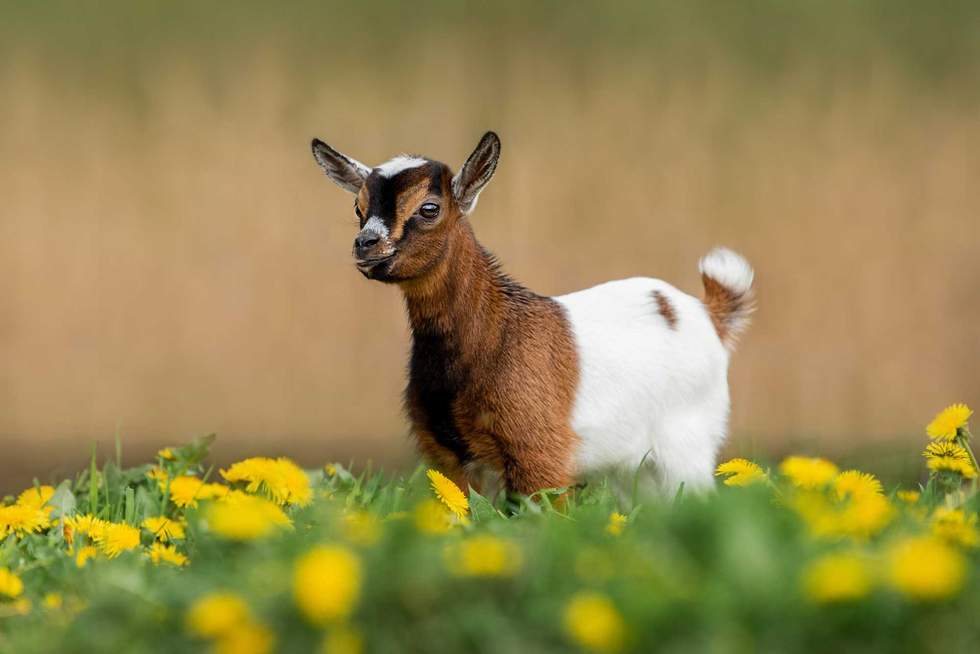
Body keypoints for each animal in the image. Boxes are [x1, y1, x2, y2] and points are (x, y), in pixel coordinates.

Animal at [311, 132, 755, 496]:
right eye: (358, 208)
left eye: (429, 208)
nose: (365, 245)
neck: (496, 330)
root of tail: (706, 312)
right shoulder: (450, 460)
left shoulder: (540, 457)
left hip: (686, 448)